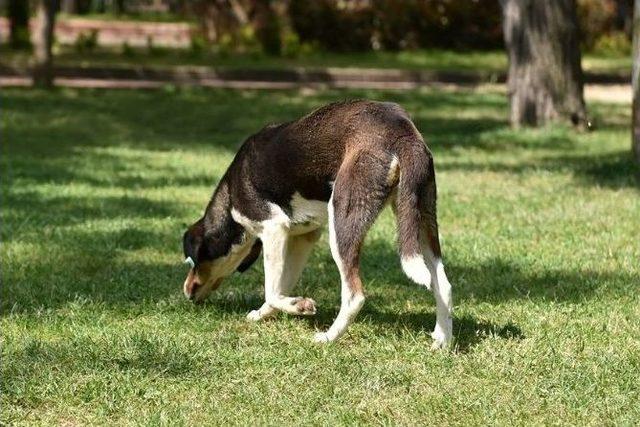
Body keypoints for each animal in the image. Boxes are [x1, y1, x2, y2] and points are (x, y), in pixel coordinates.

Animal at [182, 99, 452, 348]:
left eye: (192, 261)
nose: (185, 290)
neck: (229, 198)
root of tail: (400, 129)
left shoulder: (274, 228)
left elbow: (272, 291)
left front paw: (299, 306)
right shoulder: (303, 237)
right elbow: (280, 287)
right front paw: (263, 314)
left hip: (342, 223)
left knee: (354, 295)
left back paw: (328, 337)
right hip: (420, 222)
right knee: (444, 285)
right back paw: (442, 341)